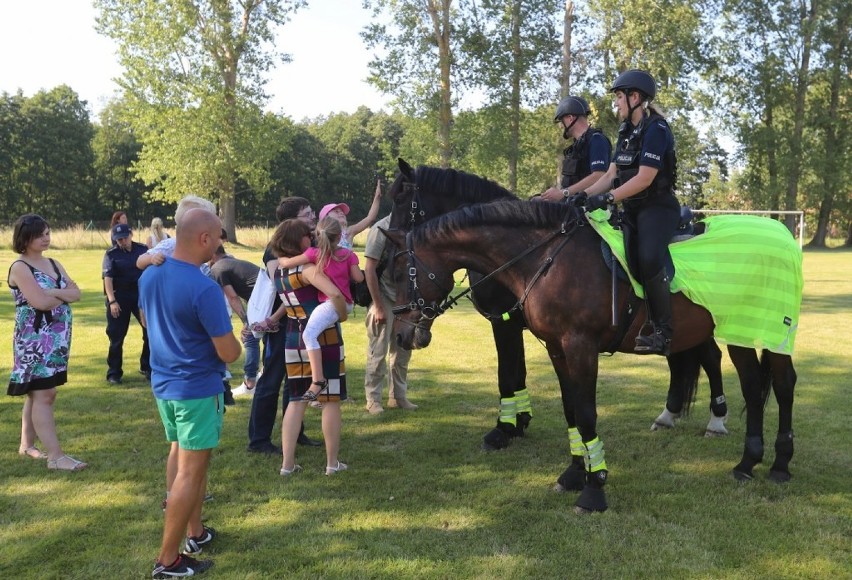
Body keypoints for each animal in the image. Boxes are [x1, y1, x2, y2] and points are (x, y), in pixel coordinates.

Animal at [386, 159, 724, 454]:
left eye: (401, 200)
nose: (388, 248)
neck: (535, 254)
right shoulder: (518, 325)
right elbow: (518, 373)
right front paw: (518, 422)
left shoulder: (506, 324)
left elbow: (507, 375)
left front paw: (504, 429)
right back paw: (669, 415)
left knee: (710, 357)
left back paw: (716, 421)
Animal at [386, 201, 800, 512]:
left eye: (397, 273)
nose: (402, 334)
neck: (546, 258)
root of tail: (781, 234)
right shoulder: (556, 348)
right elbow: (571, 408)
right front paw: (574, 473)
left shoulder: (580, 346)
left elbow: (586, 412)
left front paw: (594, 487)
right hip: (739, 332)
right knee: (751, 386)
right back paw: (747, 462)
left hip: (772, 333)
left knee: (782, 385)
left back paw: (779, 463)